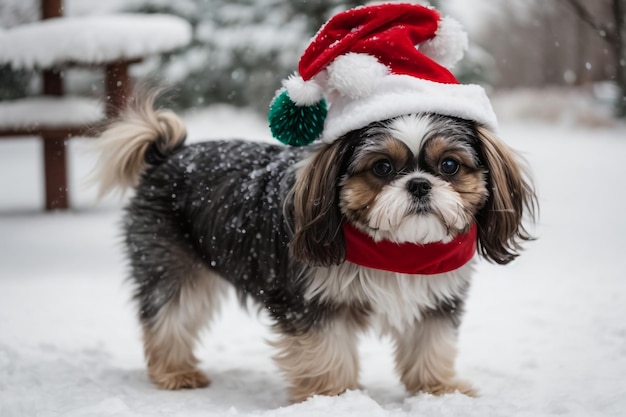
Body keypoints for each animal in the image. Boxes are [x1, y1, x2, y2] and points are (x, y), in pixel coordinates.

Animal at [95, 2, 532, 400]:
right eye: (382, 168)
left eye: (449, 165)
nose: (420, 185)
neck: (396, 250)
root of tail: (167, 155)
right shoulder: (314, 304)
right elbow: (327, 353)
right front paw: (335, 398)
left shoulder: (435, 300)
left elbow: (431, 345)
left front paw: (439, 391)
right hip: (173, 266)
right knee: (167, 318)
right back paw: (175, 372)